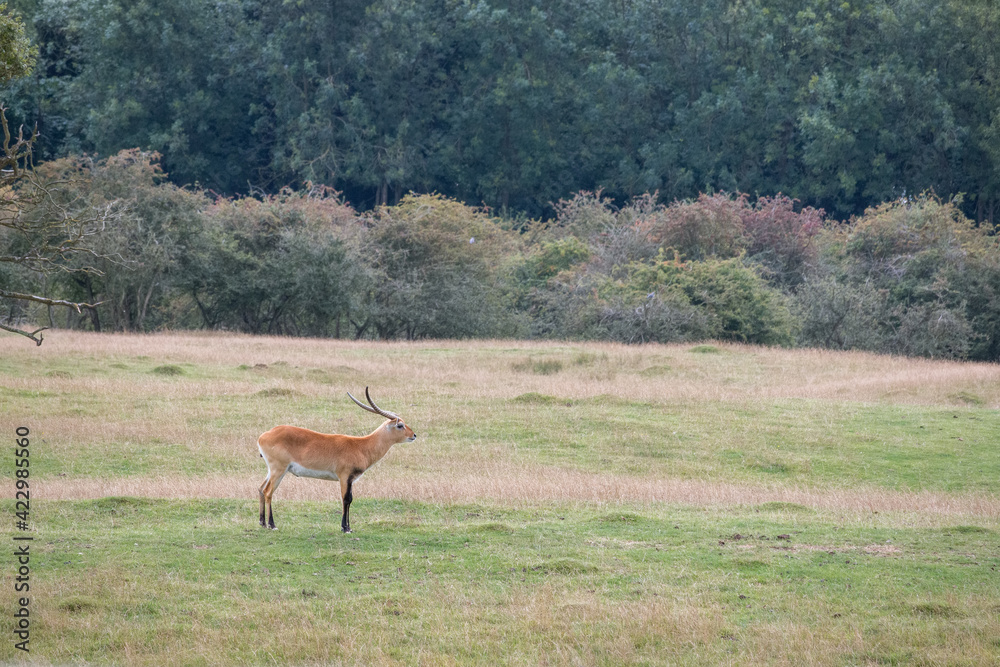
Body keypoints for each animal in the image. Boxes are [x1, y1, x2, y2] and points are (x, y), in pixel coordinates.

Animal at [256, 387, 416, 533]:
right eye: (400, 425)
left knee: (261, 489)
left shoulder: (351, 479)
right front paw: (345, 528)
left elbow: (350, 499)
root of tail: (264, 435)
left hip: (272, 470)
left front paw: (348, 527)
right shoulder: (344, 476)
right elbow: (346, 499)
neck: (362, 446)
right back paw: (272, 525)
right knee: (268, 492)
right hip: (279, 470)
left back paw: (262, 523)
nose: (414, 435)